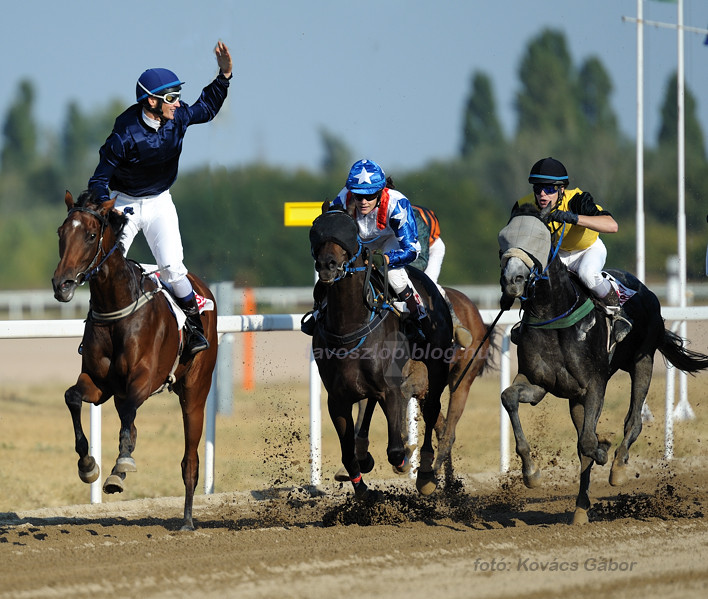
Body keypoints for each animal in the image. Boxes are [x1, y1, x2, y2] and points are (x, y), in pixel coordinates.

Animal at [51, 190, 217, 532]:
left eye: (90, 235)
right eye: (61, 233)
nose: (62, 285)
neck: (116, 307)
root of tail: (202, 289)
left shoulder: (144, 379)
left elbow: (128, 414)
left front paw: (121, 465)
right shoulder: (100, 384)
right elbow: (73, 397)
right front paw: (88, 464)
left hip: (195, 391)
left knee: (190, 459)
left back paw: (187, 519)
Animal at [310, 209, 454, 500]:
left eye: (349, 233)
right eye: (318, 230)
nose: (327, 265)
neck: (350, 325)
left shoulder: (392, 389)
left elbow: (396, 450)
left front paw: (406, 460)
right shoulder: (337, 398)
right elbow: (347, 454)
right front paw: (363, 488)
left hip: (437, 367)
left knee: (432, 409)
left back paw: (425, 472)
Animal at [498, 205, 708, 524]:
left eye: (539, 239)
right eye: (504, 239)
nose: (512, 281)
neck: (555, 315)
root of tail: (646, 290)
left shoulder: (595, 383)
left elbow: (589, 442)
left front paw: (604, 449)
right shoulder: (539, 383)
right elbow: (509, 397)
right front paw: (531, 472)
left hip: (643, 361)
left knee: (633, 421)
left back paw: (618, 468)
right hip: (576, 399)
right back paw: (580, 510)